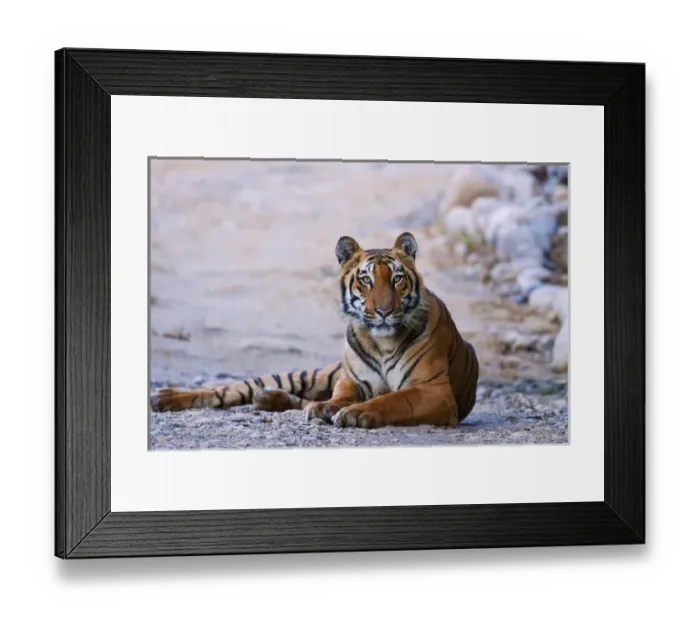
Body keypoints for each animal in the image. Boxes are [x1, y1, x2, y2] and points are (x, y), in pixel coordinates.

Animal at [151, 232, 479, 429]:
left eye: (397, 279)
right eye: (366, 280)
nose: (385, 311)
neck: (382, 342)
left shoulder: (434, 390)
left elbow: (394, 399)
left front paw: (357, 413)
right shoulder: (350, 381)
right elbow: (339, 397)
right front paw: (333, 408)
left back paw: (269, 399)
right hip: (308, 374)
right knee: (228, 389)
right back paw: (164, 397)